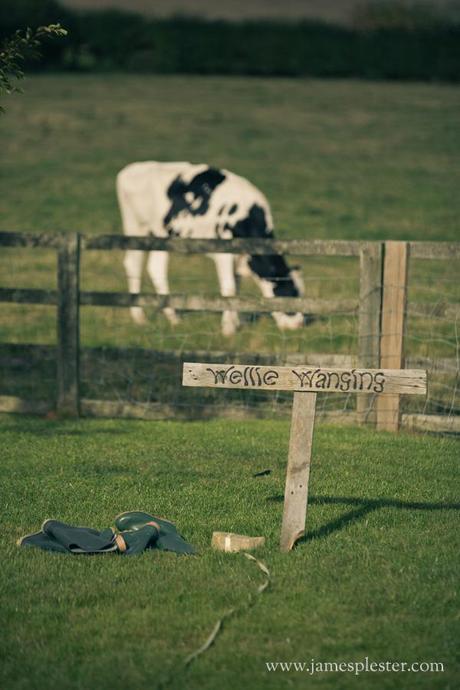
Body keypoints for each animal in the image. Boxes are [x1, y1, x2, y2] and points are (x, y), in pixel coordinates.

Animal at [117, 161, 306, 334]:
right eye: (291, 292)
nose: (299, 325)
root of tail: (129, 170)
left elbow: (236, 287)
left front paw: (236, 322)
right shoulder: (224, 250)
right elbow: (229, 288)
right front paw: (228, 329)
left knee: (145, 265)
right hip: (140, 227)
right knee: (144, 265)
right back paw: (153, 317)